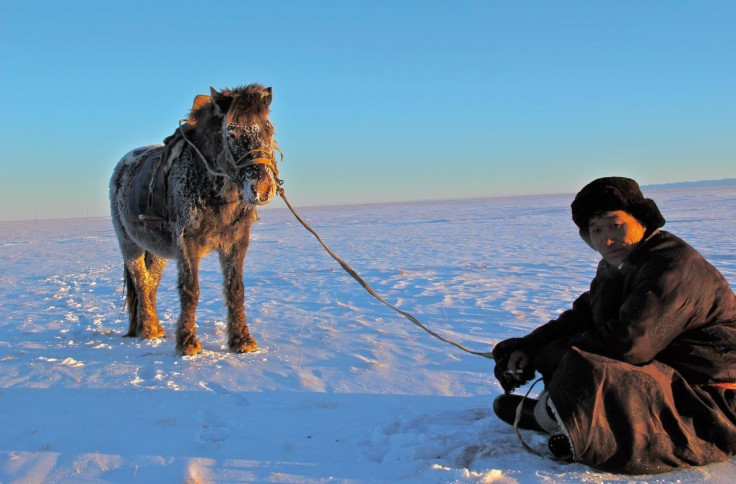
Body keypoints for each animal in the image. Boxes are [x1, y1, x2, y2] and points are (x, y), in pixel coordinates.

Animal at [109, 83, 282, 356]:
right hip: (129, 243)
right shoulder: (187, 242)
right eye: (231, 132)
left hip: (157, 250)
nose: (262, 188)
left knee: (151, 281)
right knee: (140, 280)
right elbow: (191, 290)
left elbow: (235, 288)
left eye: (269, 129)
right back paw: (147, 329)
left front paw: (242, 340)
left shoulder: (236, 242)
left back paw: (155, 327)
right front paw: (188, 342)